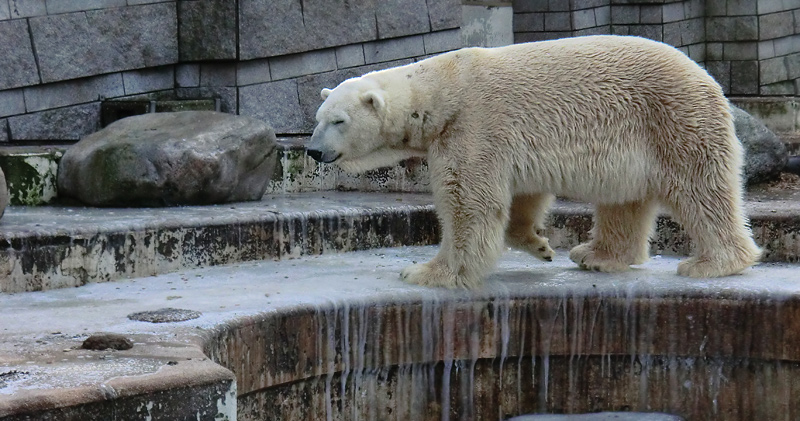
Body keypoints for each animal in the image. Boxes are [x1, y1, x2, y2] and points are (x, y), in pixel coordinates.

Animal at [306, 36, 764, 288]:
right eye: (317, 119)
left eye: (338, 120)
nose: (312, 150)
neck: (442, 91)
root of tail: (706, 78)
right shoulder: (503, 143)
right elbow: (521, 194)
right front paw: (539, 245)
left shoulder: (472, 126)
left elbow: (467, 202)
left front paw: (428, 272)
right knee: (624, 200)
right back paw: (595, 255)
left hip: (673, 120)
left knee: (701, 190)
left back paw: (712, 263)